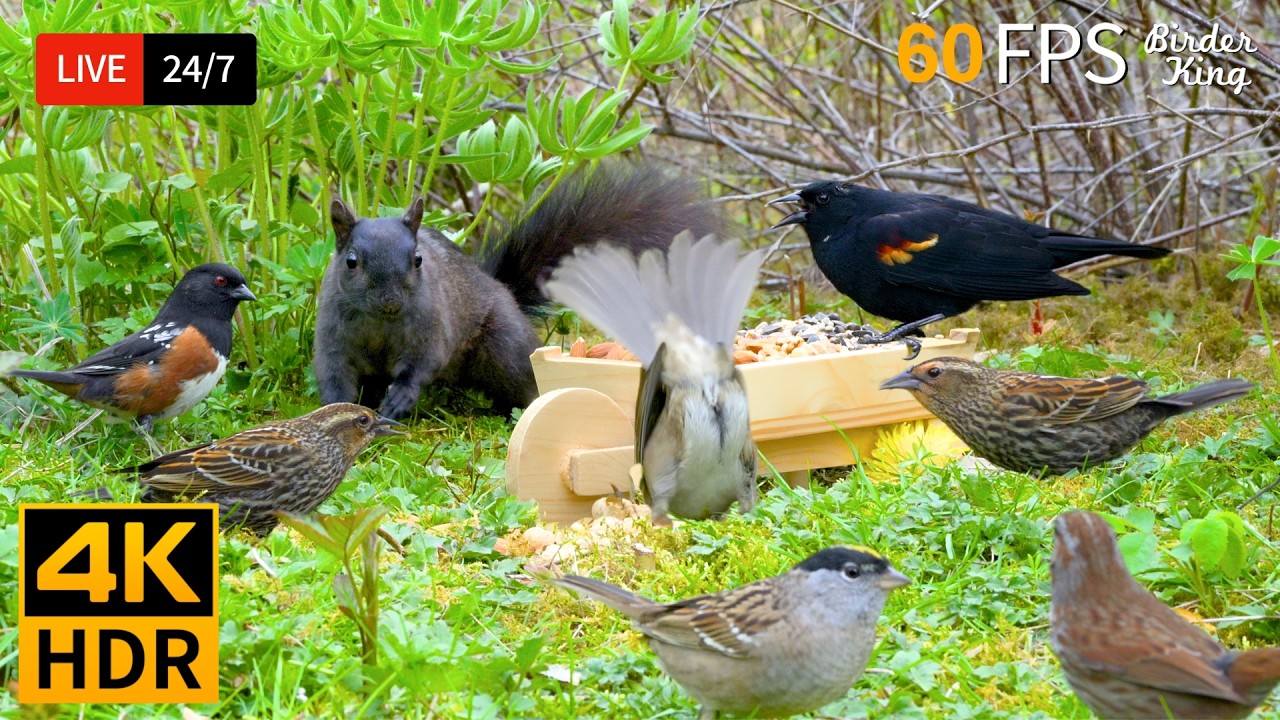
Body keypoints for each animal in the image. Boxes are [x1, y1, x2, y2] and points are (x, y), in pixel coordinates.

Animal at [313, 162, 724, 420]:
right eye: (352, 261)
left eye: (417, 260)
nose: (392, 303)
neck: (378, 325)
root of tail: (503, 290)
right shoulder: (333, 336)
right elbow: (333, 374)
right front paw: (335, 413)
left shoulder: (431, 326)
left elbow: (423, 362)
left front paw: (400, 397)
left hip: (503, 348)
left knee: (522, 385)